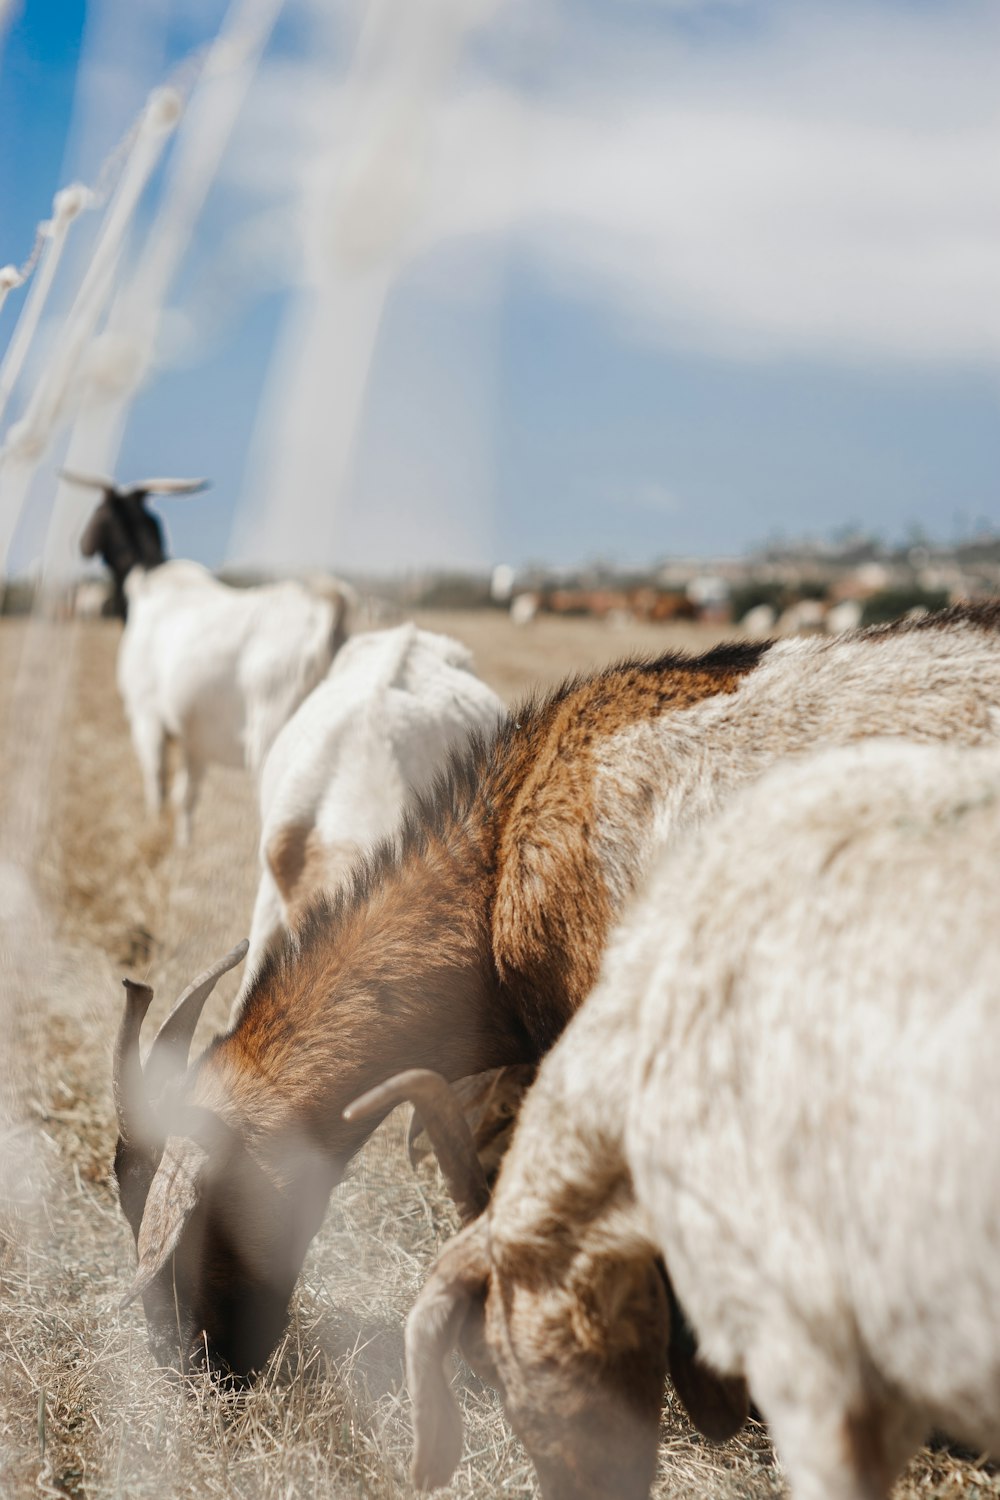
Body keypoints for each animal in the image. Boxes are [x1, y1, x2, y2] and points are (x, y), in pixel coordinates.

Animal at [119, 561, 352, 846]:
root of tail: (326, 615)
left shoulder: (145, 715)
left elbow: (156, 775)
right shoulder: (195, 741)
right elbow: (185, 794)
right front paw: (184, 845)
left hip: (270, 736)